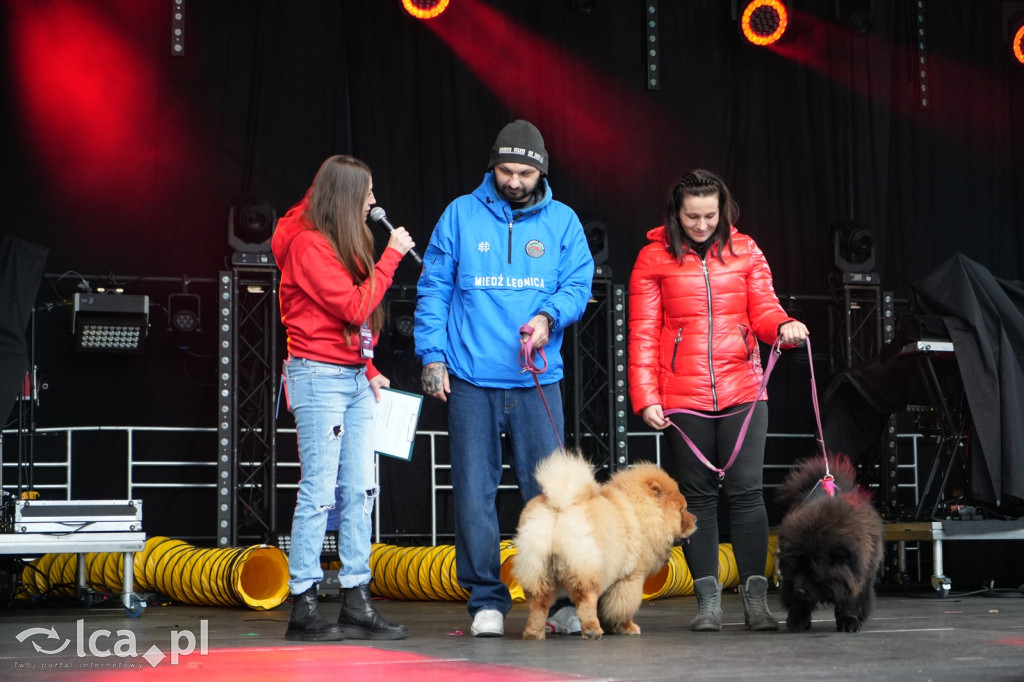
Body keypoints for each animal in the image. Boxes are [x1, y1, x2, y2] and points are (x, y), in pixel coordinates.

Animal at [774, 450, 880, 630]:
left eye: (814, 572)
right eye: (796, 568)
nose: (799, 589)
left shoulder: (857, 577)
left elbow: (850, 602)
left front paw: (849, 622)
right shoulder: (789, 580)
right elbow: (798, 604)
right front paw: (797, 622)